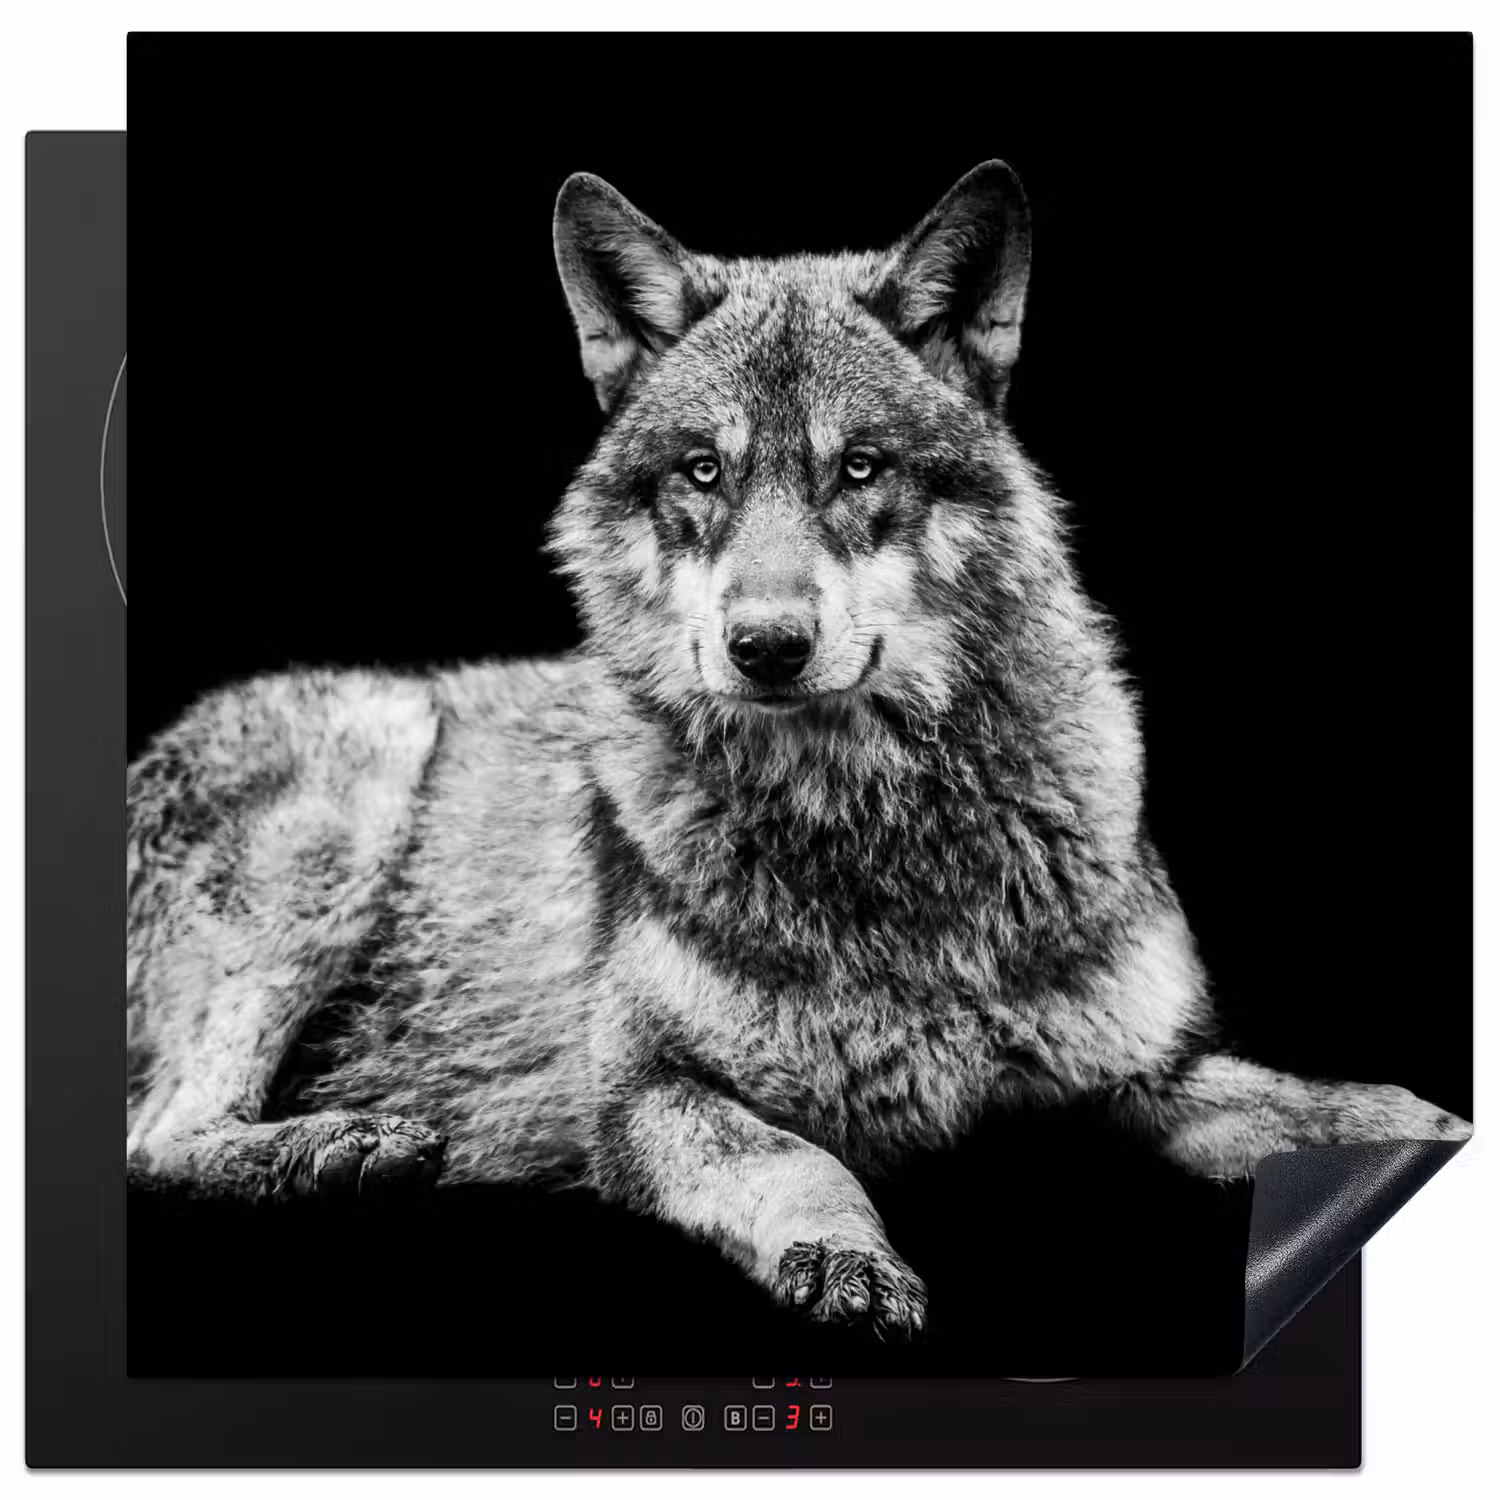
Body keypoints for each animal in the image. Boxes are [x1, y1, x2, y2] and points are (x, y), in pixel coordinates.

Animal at [125, 161, 1469, 1338]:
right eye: (703, 472)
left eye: (859, 468)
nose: (765, 646)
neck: (879, 835)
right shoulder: (646, 1093)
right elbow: (798, 1159)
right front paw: (847, 1260)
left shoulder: (1149, 1070)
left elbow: (1325, 1108)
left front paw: (1417, 1125)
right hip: (358, 788)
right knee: (157, 1139)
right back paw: (343, 1146)